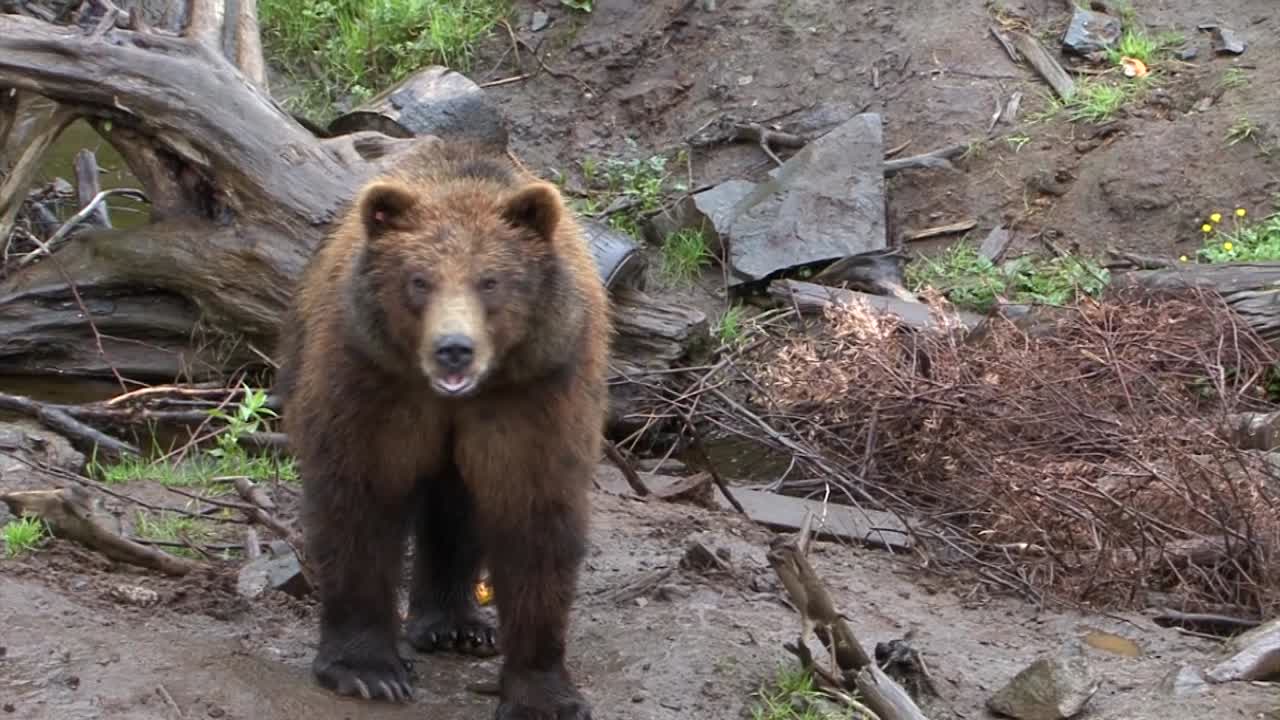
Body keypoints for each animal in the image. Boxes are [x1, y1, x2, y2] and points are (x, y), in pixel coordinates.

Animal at [275, 139, 610, 720]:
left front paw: (544, 694)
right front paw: (367, 671)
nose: (454, 348)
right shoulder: (369, 382)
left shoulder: (533, 398)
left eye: (490, 281)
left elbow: (534, 521)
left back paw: (459, 625)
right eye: (419, 280)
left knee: (458, 508)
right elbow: (359, 502)